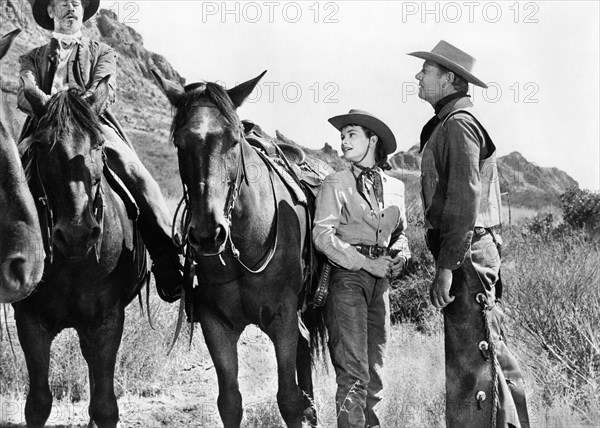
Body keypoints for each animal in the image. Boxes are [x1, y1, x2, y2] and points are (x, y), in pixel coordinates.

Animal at [13, 77, 146, 428]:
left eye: (99, 144)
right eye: (41, 145)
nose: (77, 234)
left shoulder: (107, 321)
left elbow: (105, 406)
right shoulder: (30, 320)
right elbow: (38, 404)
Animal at [154, 70, 324, 428]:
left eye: (233, 140)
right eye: (179, 143)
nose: (208, 234)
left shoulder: (283, 318)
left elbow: (288, 399)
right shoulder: (216, 324)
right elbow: (230, 402)